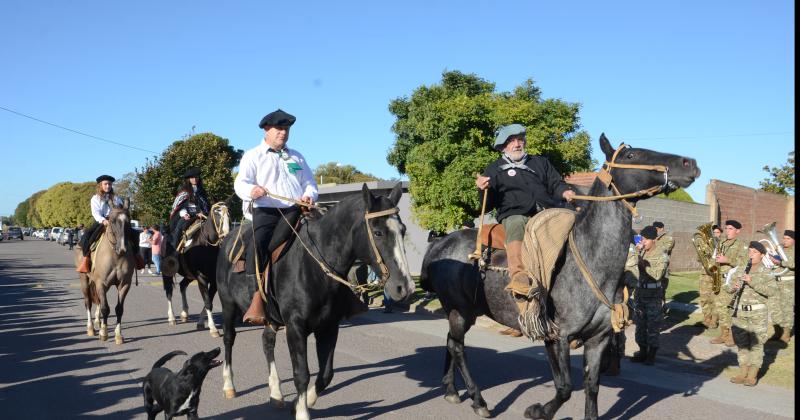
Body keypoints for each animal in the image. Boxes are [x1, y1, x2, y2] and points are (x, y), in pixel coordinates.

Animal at [74, 199, 137, 342]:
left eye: (128, 221)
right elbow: (105, 308)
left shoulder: (124, 285)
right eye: (112, 220)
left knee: (97, 301)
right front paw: (104, 333)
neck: (116, 256)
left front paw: (118, 335)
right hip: (84, 280)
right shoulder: (101, 283)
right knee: (88, 302)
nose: (122, 248)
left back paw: (98, 321)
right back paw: (91, 328)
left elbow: (119, 309)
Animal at [161, 202, 231, 336]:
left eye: (228, 215)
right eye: (217, 214)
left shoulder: (213, 280)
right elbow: (207, 302)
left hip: (189, 275)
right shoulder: (201, 278)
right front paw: (213, 328)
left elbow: (209, 300)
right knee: (169, 292)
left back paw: (184, 313)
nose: (226, 236)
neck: (206, 246)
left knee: (182, 286)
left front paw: (200, 322)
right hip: (167, 273)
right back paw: (171, 318)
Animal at [216, 183, 416, 420]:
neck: (314, 265)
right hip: (228, 305)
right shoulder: (295, 328)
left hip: (270, 316)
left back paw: (276, 393)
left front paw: (302, 402)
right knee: (229, 339)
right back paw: (229, 385)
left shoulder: (328, 327)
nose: (404, 287)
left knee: (267, 342)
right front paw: (302, 411)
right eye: (377, 232)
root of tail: (228, 238)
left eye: (402, 230)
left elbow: (326, 374)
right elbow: (302, 374)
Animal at [422, 135, 696, 420]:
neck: (589, 261)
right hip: (459, 310)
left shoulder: (598, 339)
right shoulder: (557, 337)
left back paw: (451, 390)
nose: (689, 163)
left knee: (451, 342)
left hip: (464, 311)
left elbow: (592, 386)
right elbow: (564, 387)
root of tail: (440, 244)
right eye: (631, 156)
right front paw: (538, 411)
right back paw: (478, 400)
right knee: (457, 347)